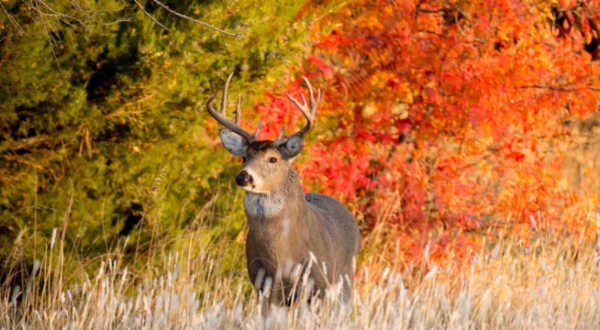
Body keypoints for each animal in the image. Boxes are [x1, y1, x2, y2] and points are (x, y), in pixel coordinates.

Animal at [206, 73, 360, 306]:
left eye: (273, 159)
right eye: (244, 158)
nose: (243, 176)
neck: (282, 255)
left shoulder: (317, 283)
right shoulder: (263, 283)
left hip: (343, 279)